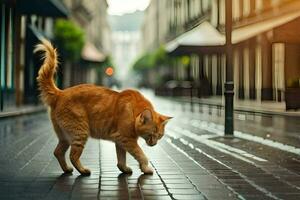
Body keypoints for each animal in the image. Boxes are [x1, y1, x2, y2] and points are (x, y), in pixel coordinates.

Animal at [34, 40, 171, 175]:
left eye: (160, 136)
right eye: (151, 134)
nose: (154, 144)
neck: (134, 111)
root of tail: (60, 93)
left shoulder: (120, 140)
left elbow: (121, 159)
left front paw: (124, 169)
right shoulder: (127, 139)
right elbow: (141, 155)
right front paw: (146, 168)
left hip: (66, 137)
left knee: (58, 152)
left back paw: (67, 169)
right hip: (80, 132)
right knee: (73, 156)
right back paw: (83, 170)